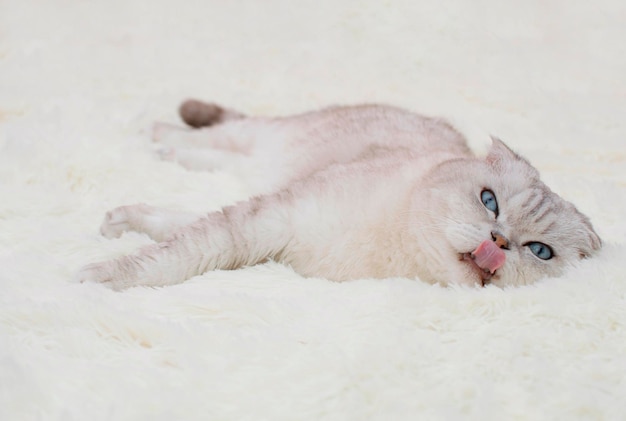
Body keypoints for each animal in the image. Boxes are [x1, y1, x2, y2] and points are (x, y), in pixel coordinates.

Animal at [78, 100, 600, 290]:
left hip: (259, 172)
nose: (500, 243)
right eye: (489, 201)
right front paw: (97, 279)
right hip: (264, 145)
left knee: (210, 166)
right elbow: (167, 261)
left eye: (539, 252)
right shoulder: (271, 220)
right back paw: (154, 134)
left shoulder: (266, 236)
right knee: (217, 133)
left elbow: (183, 240)